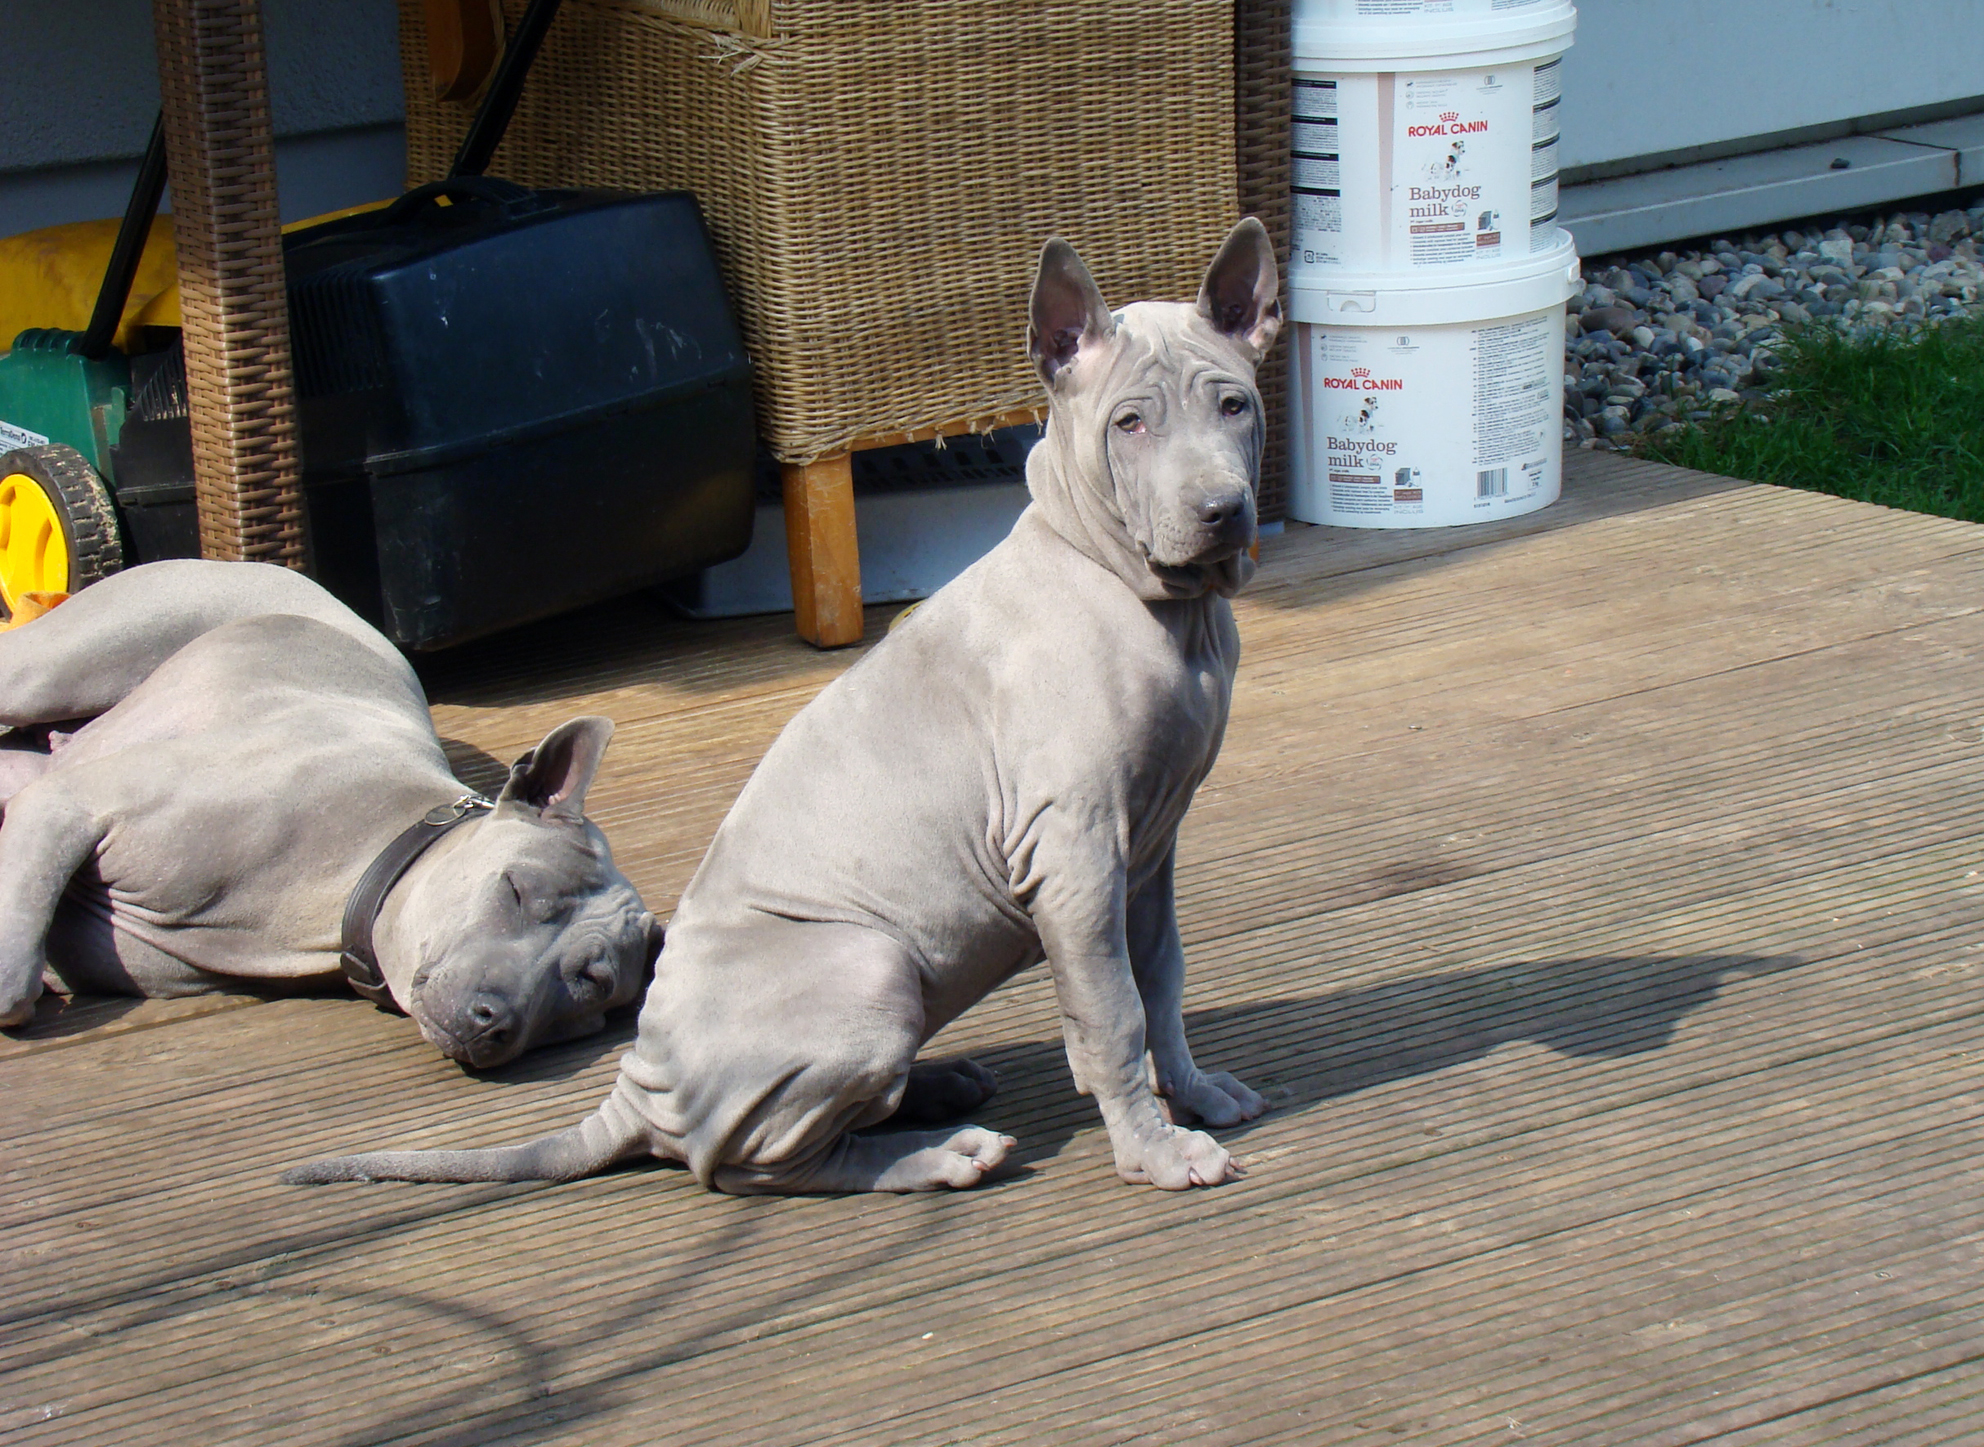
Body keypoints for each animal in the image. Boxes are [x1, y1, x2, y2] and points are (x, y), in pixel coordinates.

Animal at [0, 561, 655, 1067]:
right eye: (516, 890)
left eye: (592, 983)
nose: (491, 1019)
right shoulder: (65, 802)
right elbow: (12, 981)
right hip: (55, 668)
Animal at [287, 217, 1281, 1193]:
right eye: (1130, 423)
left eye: (1235, 407)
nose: (1221, 510)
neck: (1157, 601)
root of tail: (641, 1090)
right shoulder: (1072, 852)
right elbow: (1111, 1012)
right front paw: (1155, 1151)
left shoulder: (1144, 850)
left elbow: (1161, 979)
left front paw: (1193, 1091)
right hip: (872, 963)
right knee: (760, 1163)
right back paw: (937, 1151)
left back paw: (937, 1086)